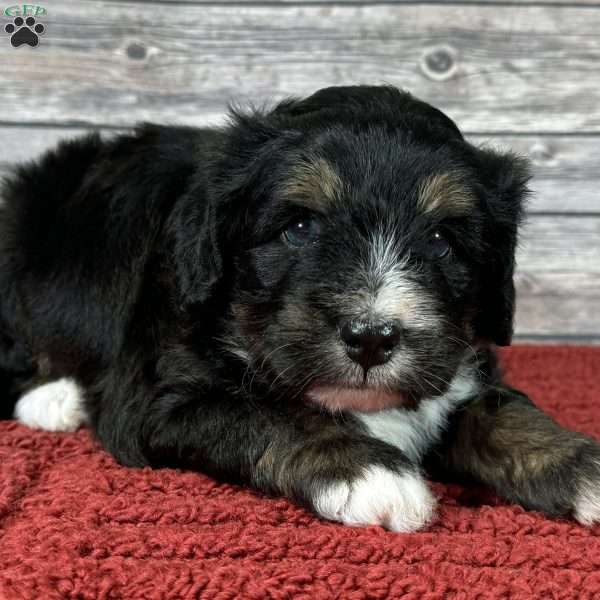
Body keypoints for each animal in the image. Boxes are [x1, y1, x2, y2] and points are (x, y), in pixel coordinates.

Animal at [1, 85, 600, 528]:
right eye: (299, 227)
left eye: (440, 241)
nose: (371, 337)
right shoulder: (158, 394)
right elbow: (268, 412)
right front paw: (367, 472)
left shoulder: (459, 366)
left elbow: (505, 412)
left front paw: (581, 463)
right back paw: (55, 399)